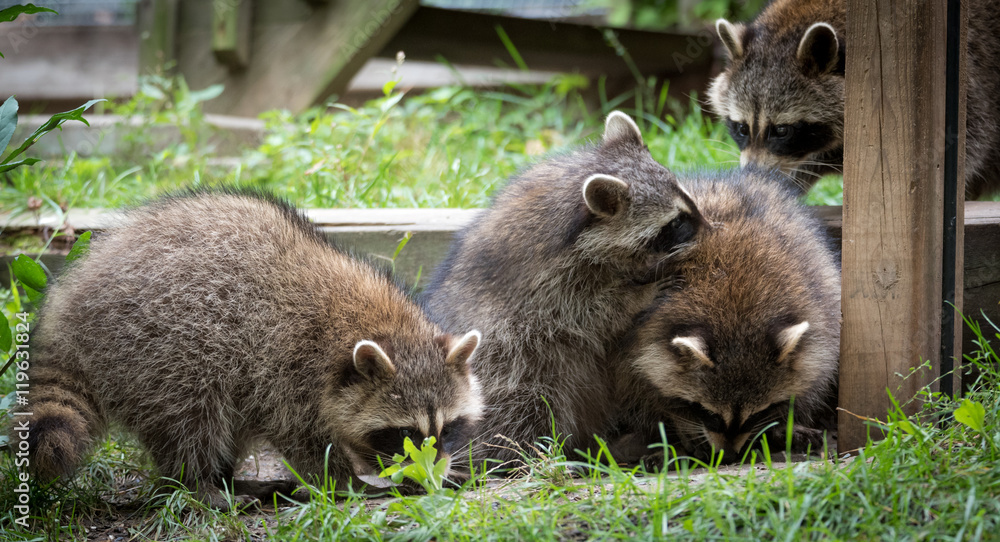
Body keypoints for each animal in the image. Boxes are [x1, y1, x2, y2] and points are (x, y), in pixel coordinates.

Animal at [12, 190, 484, 510]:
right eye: (403, 432)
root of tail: (70, 307)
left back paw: (227, 478)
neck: (380, 325)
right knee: (191, 418)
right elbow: (304, 440)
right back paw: (201, 485)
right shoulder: (287, 365)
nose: (429, 477)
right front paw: (347, 482)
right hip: (157, 343)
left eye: (448, 428)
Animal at [420, 111, 704, 468]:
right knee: (528, 401)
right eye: (676, 222)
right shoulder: (551, 286)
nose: (712, 228)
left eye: (687, 201)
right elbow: (596, 314)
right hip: (509, 362)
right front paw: (642, 293)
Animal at [616, 169, 844, 464]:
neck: (738, 320)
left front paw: (781, 425)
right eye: (708, 413)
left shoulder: (821, 312)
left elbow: (812, 374)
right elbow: (642, 388)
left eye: (758, 413)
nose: (730, 456)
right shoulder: (637, 335)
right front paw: (677, 426)